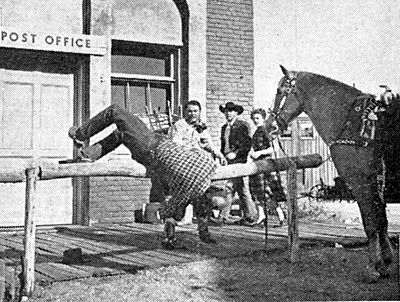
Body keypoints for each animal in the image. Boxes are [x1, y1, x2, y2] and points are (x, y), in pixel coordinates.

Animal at [268, 65, 396, 282]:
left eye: (280, 91)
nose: (270, 126)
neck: (349, 121)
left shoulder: (360, 182)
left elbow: (370, 222)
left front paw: (374, 266)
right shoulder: (377, 180)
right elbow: (381, 219)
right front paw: (385, 261)